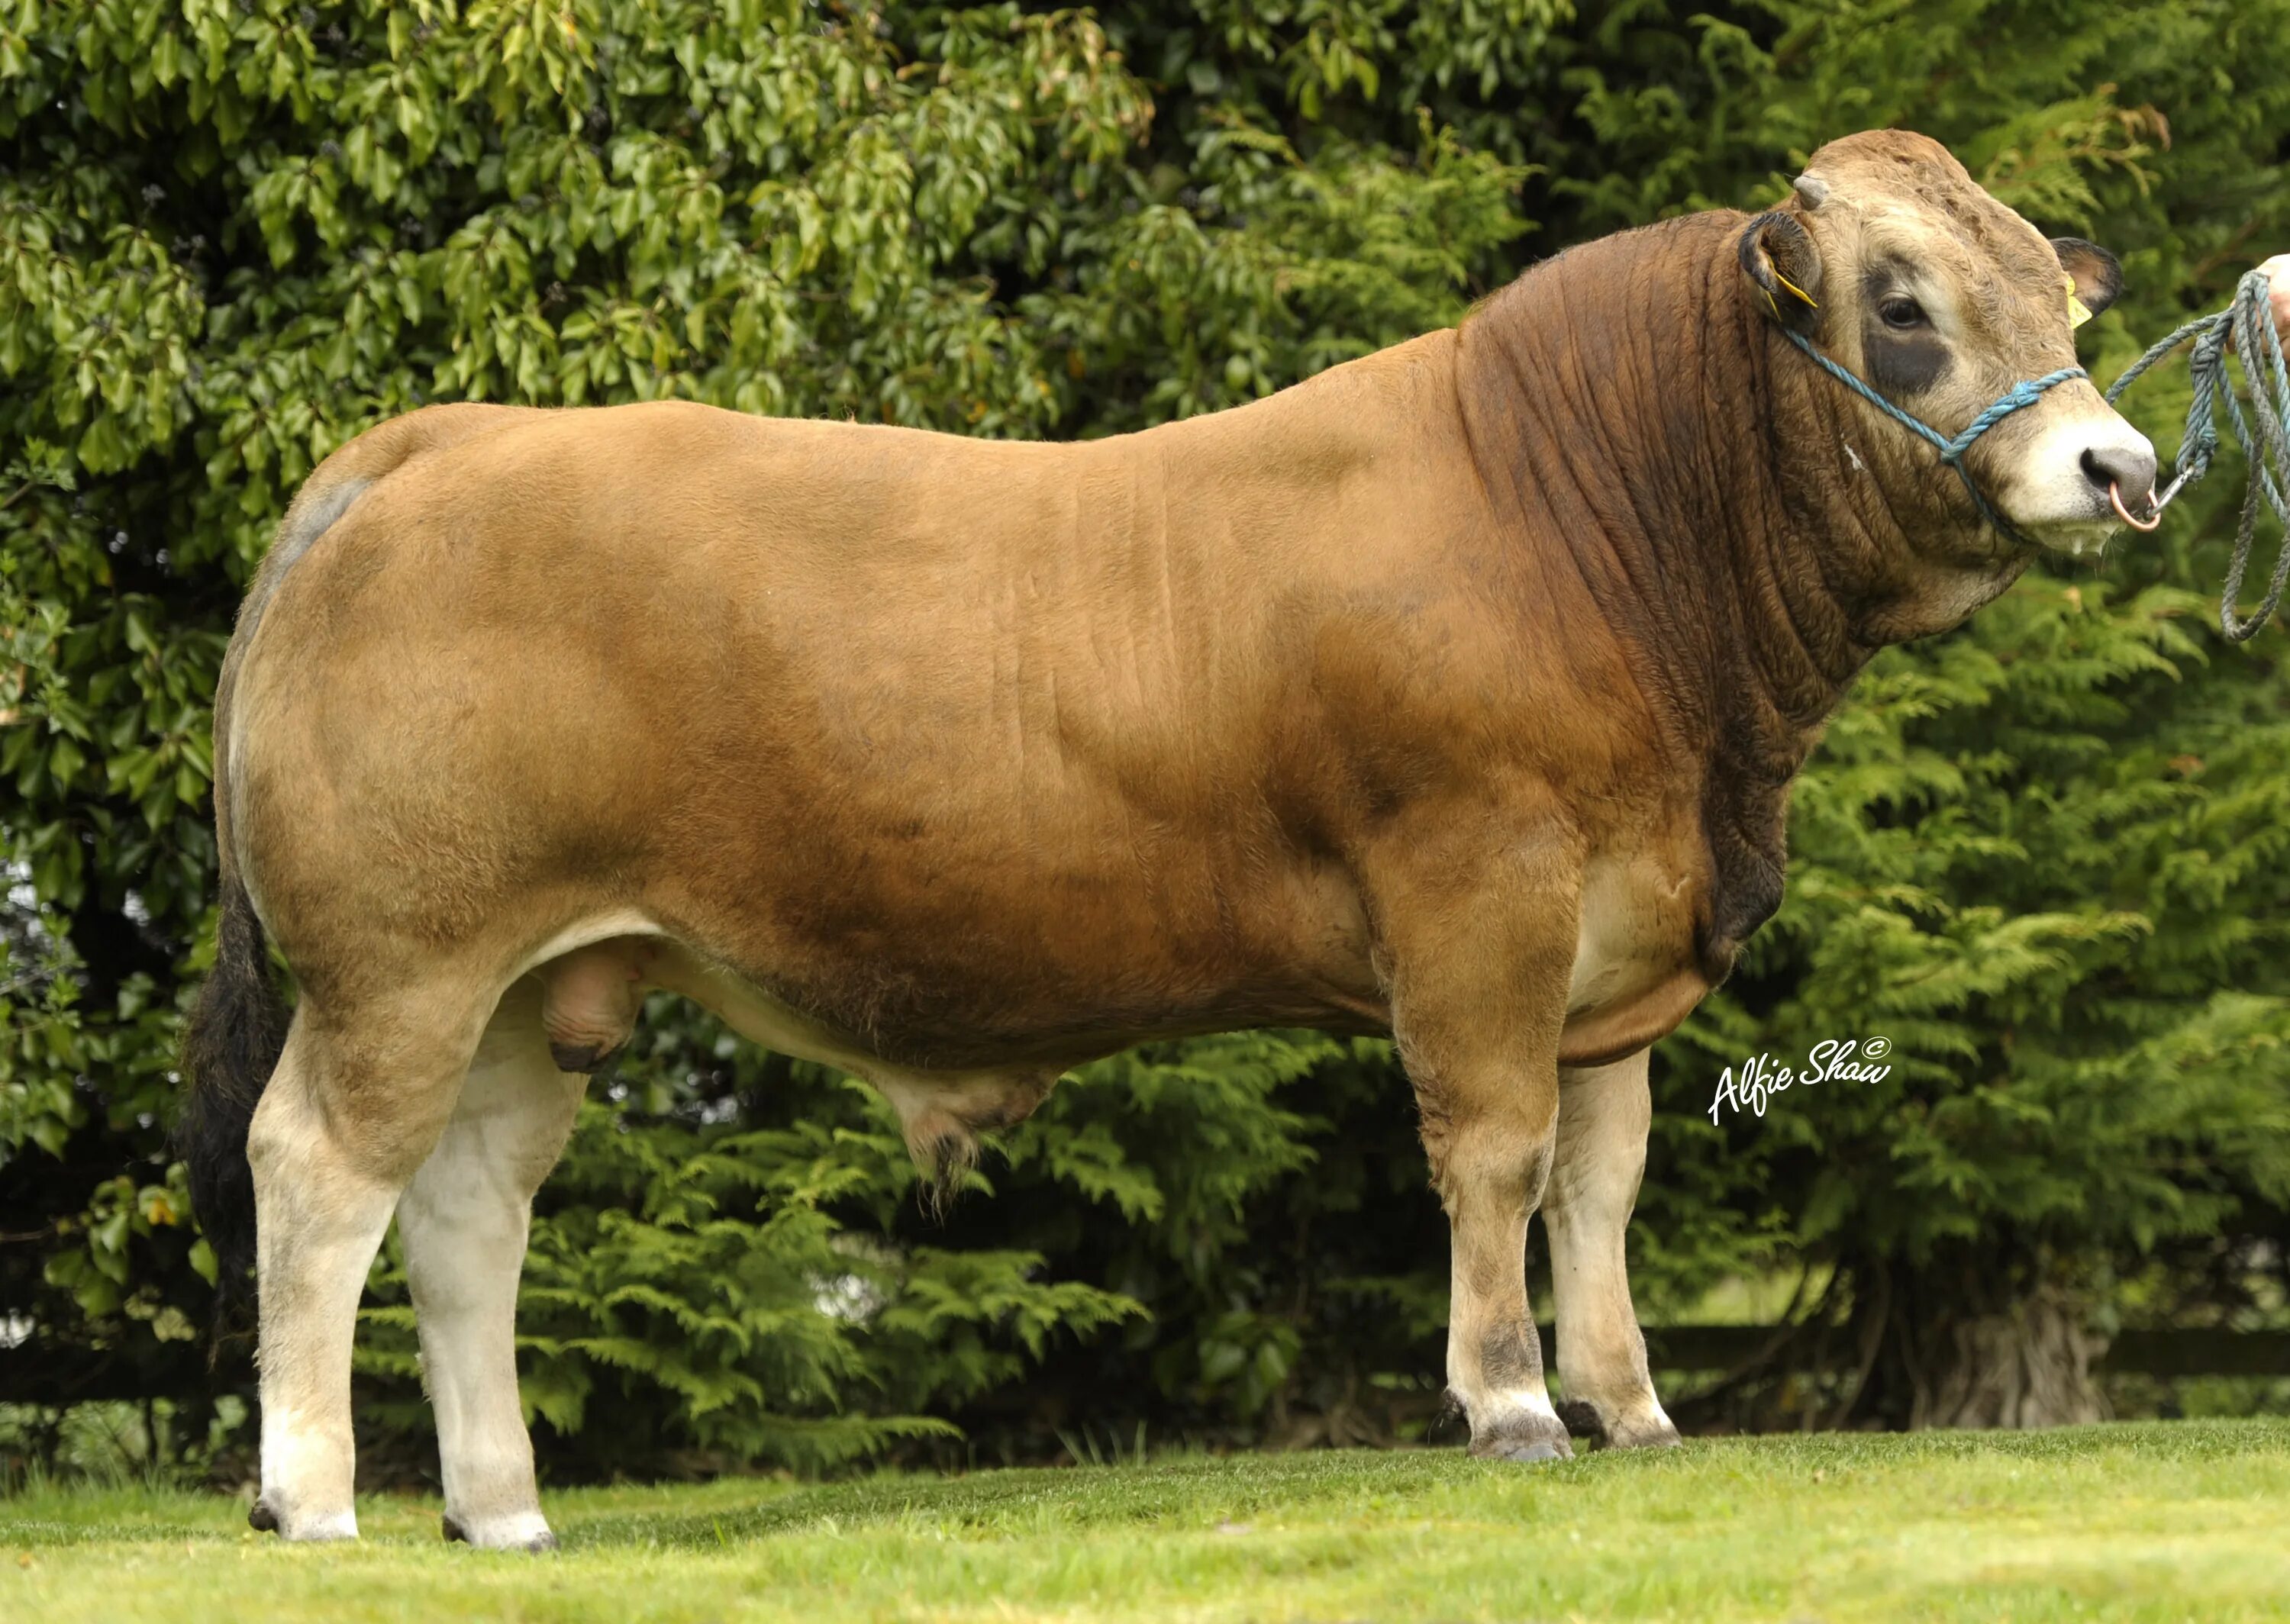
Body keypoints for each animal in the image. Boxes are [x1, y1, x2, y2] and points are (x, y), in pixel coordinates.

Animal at [183, 130, 2162, 1548]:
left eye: (2052, 303)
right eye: (1900, 306)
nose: (2122, 466)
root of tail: (429, 443)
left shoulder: (1615, 941)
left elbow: (1598, 1183)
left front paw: (1635, 1408)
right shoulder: (1481, 895)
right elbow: (1497, 1155)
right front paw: (1515, 1406)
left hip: (543, 983)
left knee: (465, 1212)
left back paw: (502, 1510)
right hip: (401, 966)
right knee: (320, 1178)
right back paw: (316, 1498)